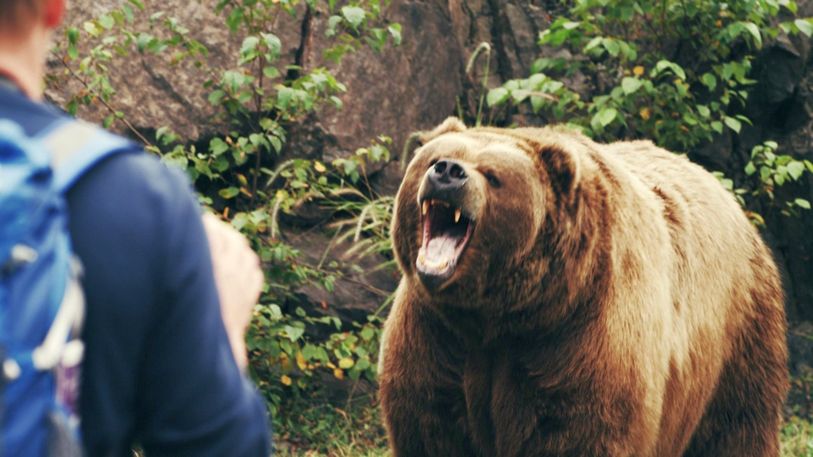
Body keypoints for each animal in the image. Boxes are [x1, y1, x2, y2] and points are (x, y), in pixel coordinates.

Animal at [378, 119, 788, 456]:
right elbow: (431, 423)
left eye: (493, 175)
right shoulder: (436, 334)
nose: (448, 172)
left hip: (738, 333)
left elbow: (578, 430)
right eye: (436, 158)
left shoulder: (582, 333)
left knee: (737, 425)